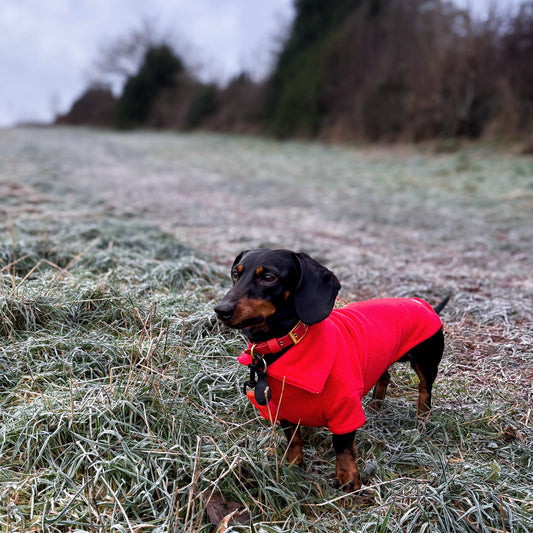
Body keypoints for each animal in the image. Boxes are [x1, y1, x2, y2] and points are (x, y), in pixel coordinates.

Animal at [214, 249, 449, 492]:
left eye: (269, 278)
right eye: (235, 274)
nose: (221, 310)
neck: (289, 344)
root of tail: (422, 303)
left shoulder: (345, 410)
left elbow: (342, 446)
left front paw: (349, 480)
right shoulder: (283, 408)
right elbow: (293, 440)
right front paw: (293, 465)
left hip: (426, 363)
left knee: (425, 391)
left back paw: (421, 421)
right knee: (384, 377)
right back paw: (375, 406)